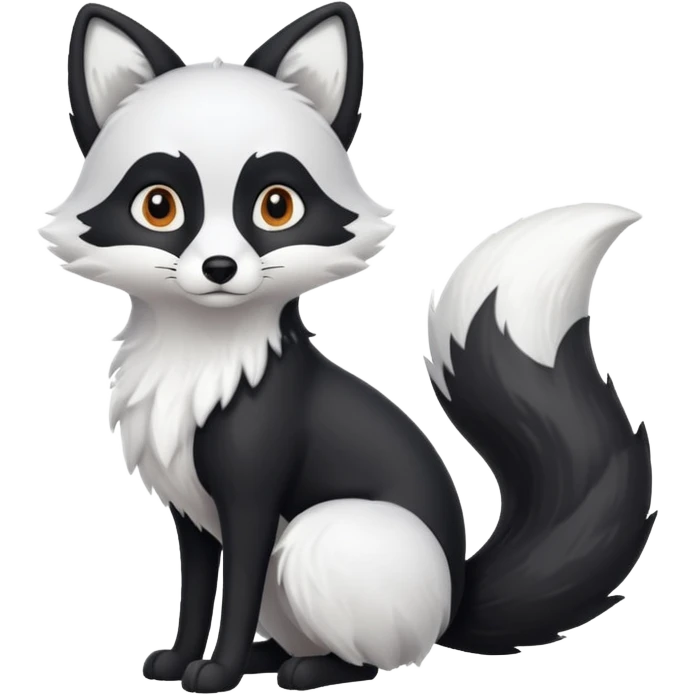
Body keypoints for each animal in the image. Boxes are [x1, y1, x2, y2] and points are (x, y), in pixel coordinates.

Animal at [41, 1, 656, 693]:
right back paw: (269, 659)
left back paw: (307, 670)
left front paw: (216, 672)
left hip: (319, 536)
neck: (201, 357)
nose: (221, 268)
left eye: (276, 206)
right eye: (158, 206)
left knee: (374, 658)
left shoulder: (252, 497)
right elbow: (197, 592)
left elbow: (236, 589)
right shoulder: (191, 513)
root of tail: (455, 599)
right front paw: (177, 660)